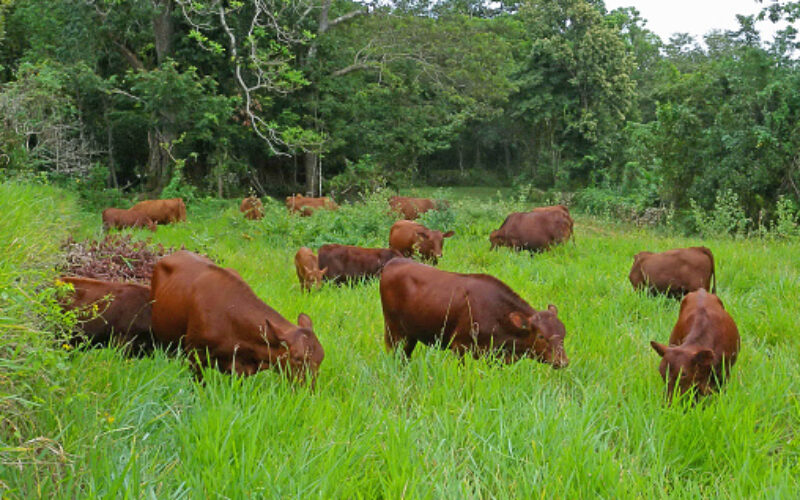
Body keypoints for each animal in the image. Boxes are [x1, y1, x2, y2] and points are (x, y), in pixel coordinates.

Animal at [380, 259, 569, 367]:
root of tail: (394, 261)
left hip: (410, 333)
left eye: (563, 335)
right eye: (541, 336)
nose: (563, 362)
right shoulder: (459, 346)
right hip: (393, 329)